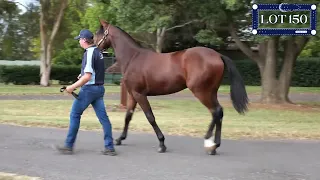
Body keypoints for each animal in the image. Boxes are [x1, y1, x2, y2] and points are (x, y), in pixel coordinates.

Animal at [94, 19, 249, 155]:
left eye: (97, 34)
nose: (93, 47)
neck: (133, 58)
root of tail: (217, 55)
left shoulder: (140, 94)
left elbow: (150, 117)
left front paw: (162, 144)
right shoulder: (133, 94)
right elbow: (128, 116)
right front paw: (120, 139)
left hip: (201, 91)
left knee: (215, 111)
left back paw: (209, 143)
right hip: (211, 92)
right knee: (219, 112)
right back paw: (214, 146)